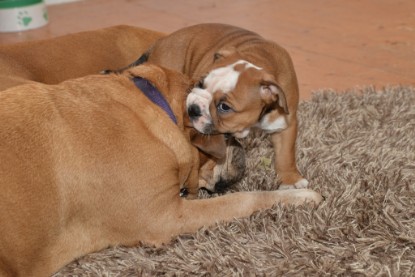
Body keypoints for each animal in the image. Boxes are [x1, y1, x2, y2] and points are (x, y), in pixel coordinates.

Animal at [0, 63, 324, 274]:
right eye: (229, 135)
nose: (242, 154)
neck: (154, 105)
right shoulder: (167, 218)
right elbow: (245, 199)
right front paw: (300, 198)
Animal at [115, 23, 310, 190]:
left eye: (224, 107)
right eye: (200, 83)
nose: (193, 108)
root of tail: (161, 41)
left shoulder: (286, 123)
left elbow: (286, 154)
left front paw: (291, 179)